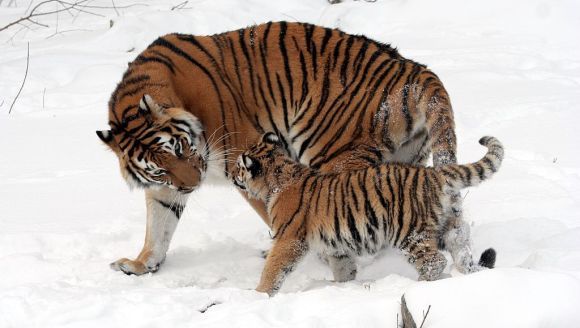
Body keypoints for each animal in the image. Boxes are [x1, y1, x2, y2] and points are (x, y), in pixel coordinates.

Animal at [96, 20, 466, 276]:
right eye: (159, 169)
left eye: (180, 148)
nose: (193, 184)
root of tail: (415, 70)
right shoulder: (166, 188)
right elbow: (158, 225)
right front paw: (141, 264)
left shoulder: (244, 157)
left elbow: (274, 210)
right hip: (408, 160)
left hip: (333, 153)